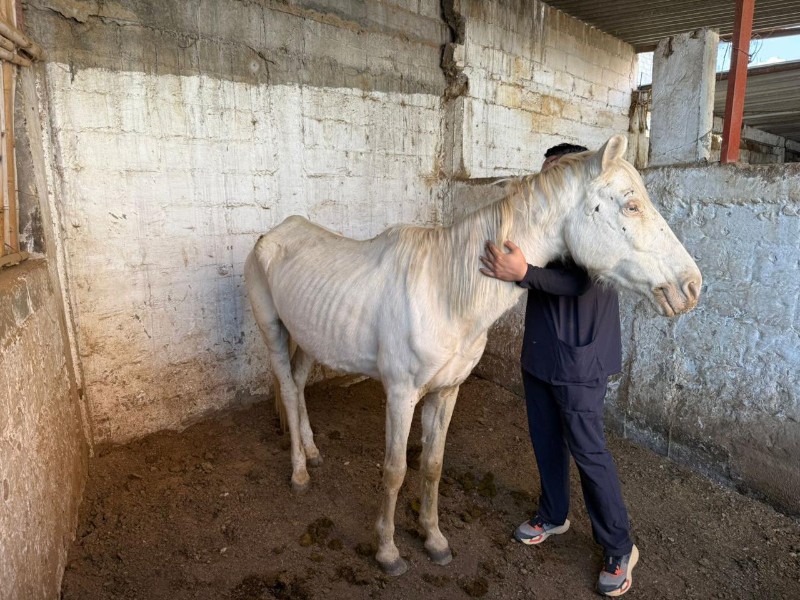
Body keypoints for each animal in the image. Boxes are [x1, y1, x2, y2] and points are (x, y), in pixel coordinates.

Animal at [244, 135, 702, 576]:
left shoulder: (446, 392)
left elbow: (432, 465)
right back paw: (299, 473)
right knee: (289, 391)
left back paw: (313, 453)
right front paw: (388, 552)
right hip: (273, 331)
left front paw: (434, 540)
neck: (444, 291)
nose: (692, 286)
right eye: (632, 204)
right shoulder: (400, 395)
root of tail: (273, 233)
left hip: (309, 338)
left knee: (299, 385)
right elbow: (394, 471)